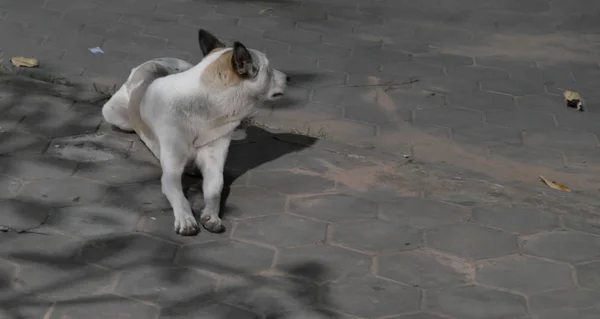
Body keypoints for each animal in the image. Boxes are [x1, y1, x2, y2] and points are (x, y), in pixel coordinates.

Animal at [101, 28, 288, 236]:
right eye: (269, 70)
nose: (289, 78)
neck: (206, 110)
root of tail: (153, 61)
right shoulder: (171, 172)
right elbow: (180, 197)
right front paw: (185, 218)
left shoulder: (214, 166)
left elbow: (215, 192)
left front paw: (212, 215)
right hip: (114, 114)